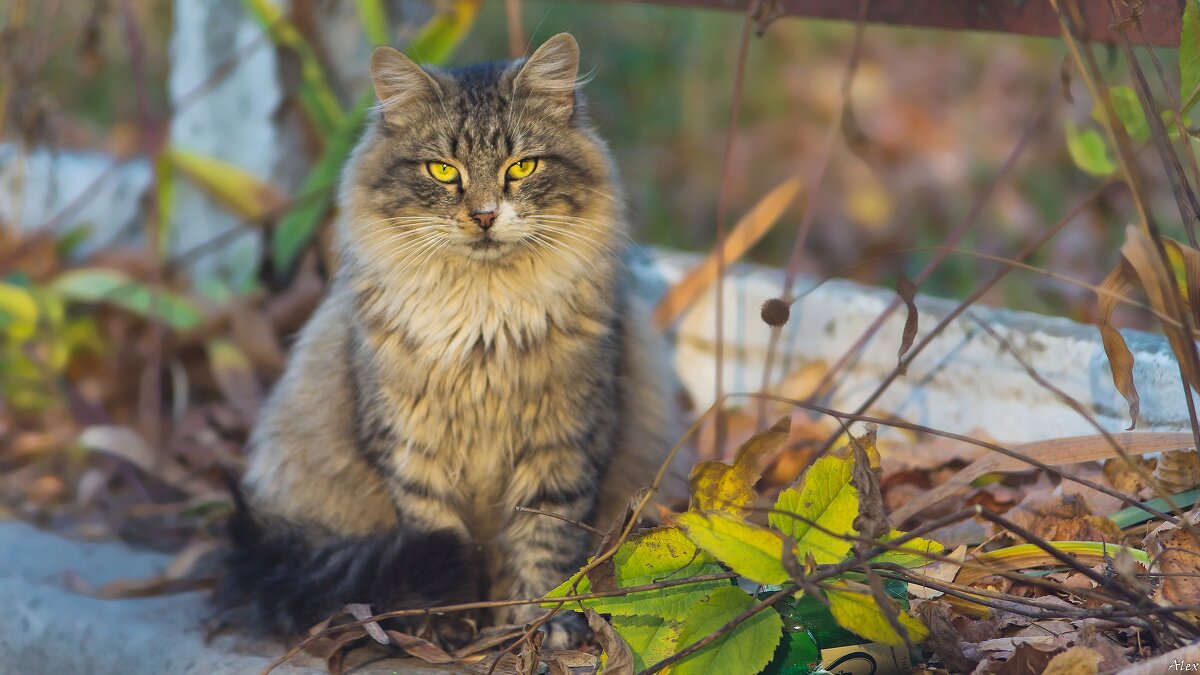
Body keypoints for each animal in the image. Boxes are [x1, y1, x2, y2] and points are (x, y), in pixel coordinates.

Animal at [214, 34, 686, 648]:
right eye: (442, 171)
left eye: (521, 167)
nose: (484, 216)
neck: (484, 320)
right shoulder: (412, 448)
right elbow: (443, 536)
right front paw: (446, 621)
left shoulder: (564, 442)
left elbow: (545, 546)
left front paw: (541, 624)